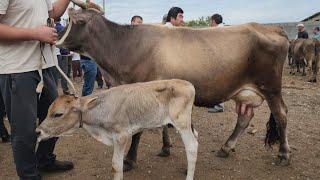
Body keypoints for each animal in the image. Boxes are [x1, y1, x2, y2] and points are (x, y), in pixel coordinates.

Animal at [56, 4, 292, 170]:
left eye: (73, 20)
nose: (56, 37)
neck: (125, 47)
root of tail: (274, 28)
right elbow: (162, 123)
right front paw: (165, 147)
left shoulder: (142, 90)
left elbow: (139, 130)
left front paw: (130, 160)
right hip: (245, 91)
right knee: (244, 118)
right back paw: (226, 147)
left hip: (271, 86)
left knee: (281, 114)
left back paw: (284, 154)